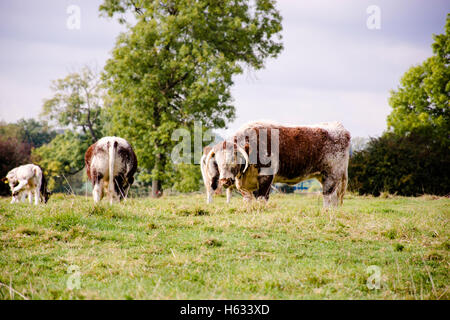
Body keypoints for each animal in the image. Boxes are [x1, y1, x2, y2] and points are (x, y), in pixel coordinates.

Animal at [207, 120, 352, 208]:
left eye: (234, 159)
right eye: (218, 163)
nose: (224, 180)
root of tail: (338, 128)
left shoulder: (266, 176)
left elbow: (262, 197)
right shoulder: (244, 185)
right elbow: (248, 199)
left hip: (332, 175)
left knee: (329, 196)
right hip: (325, 176)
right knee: (333, 198)